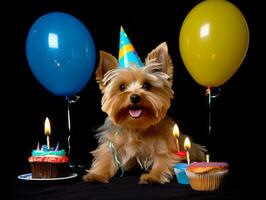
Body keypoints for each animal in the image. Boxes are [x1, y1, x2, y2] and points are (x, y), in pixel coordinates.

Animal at [83, 42, 206, 184]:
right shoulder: (111, 141)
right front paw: (97, 174)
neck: (136, 126)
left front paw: (154, 175)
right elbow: (106, 156)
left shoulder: (163, 144)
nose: (135, 97)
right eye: (122, 87)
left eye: (147, 85)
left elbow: (163, 158)